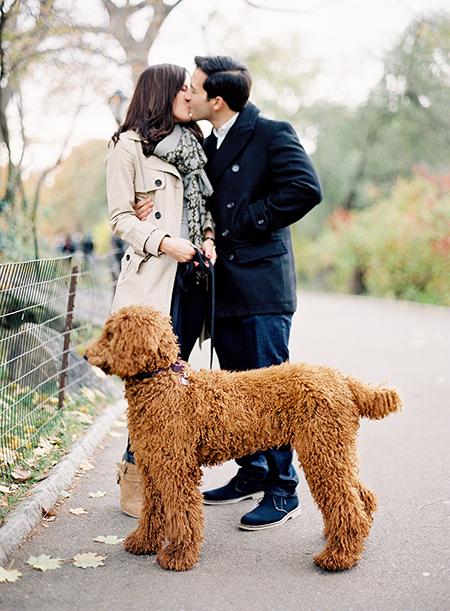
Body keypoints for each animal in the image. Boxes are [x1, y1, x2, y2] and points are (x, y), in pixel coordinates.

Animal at [85, 305, 401, 572]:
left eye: (111, 334)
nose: (86, 354)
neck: (163, 382)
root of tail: (343, 380)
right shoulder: (153, 467)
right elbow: (153, 509)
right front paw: (142, 543)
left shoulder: (176, 469)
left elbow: (182, 512)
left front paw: (178, 555)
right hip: (335, 448)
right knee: (360, 494)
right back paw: (350, 538)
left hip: (321, 450)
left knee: (347, 503)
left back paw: (339, 556)